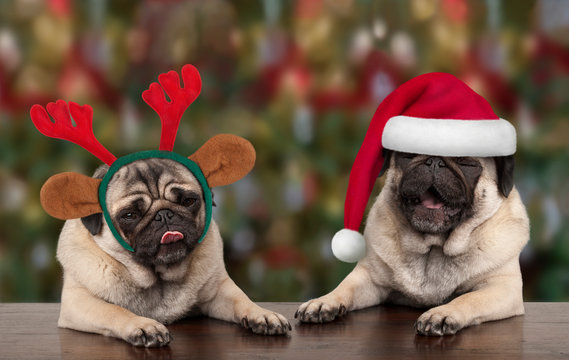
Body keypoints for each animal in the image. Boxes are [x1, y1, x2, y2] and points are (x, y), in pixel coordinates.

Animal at [45, 134, 288, 346]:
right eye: (130, 215)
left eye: (189, 201)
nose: (163, 215)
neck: (158, 276)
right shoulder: (77, 301)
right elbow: (114, 310)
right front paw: (143, 326)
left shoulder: (219, 290)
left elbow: (242, 299)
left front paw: (262, 314)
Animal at [296, 151, 532, 334]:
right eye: (407, 156)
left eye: (466, 163)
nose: (435, 161)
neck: (433, 247)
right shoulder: (370, 278)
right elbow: (345, 287)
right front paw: (323, 302)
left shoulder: (502, 287)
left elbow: (469, 299)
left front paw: (442, 313)